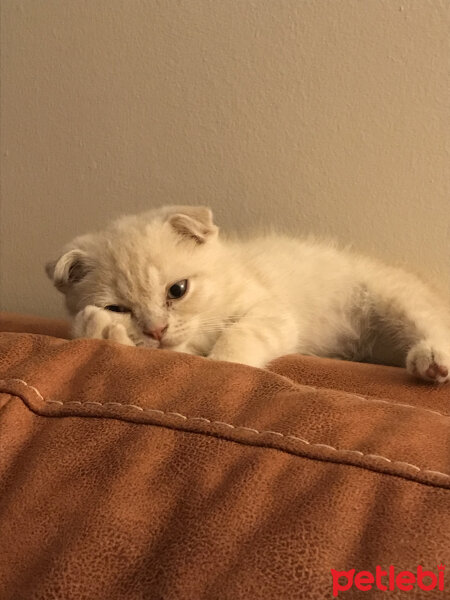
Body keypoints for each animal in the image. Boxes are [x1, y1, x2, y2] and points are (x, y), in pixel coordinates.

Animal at [46, 205, 450, 384]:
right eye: (118, 306)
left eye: (177, 290)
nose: (156, 330)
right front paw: (103, 328)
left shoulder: (272, 312)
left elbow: (240, 334)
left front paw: (226, 362)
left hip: (393, 295)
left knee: (431, 321)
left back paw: (431, 360)